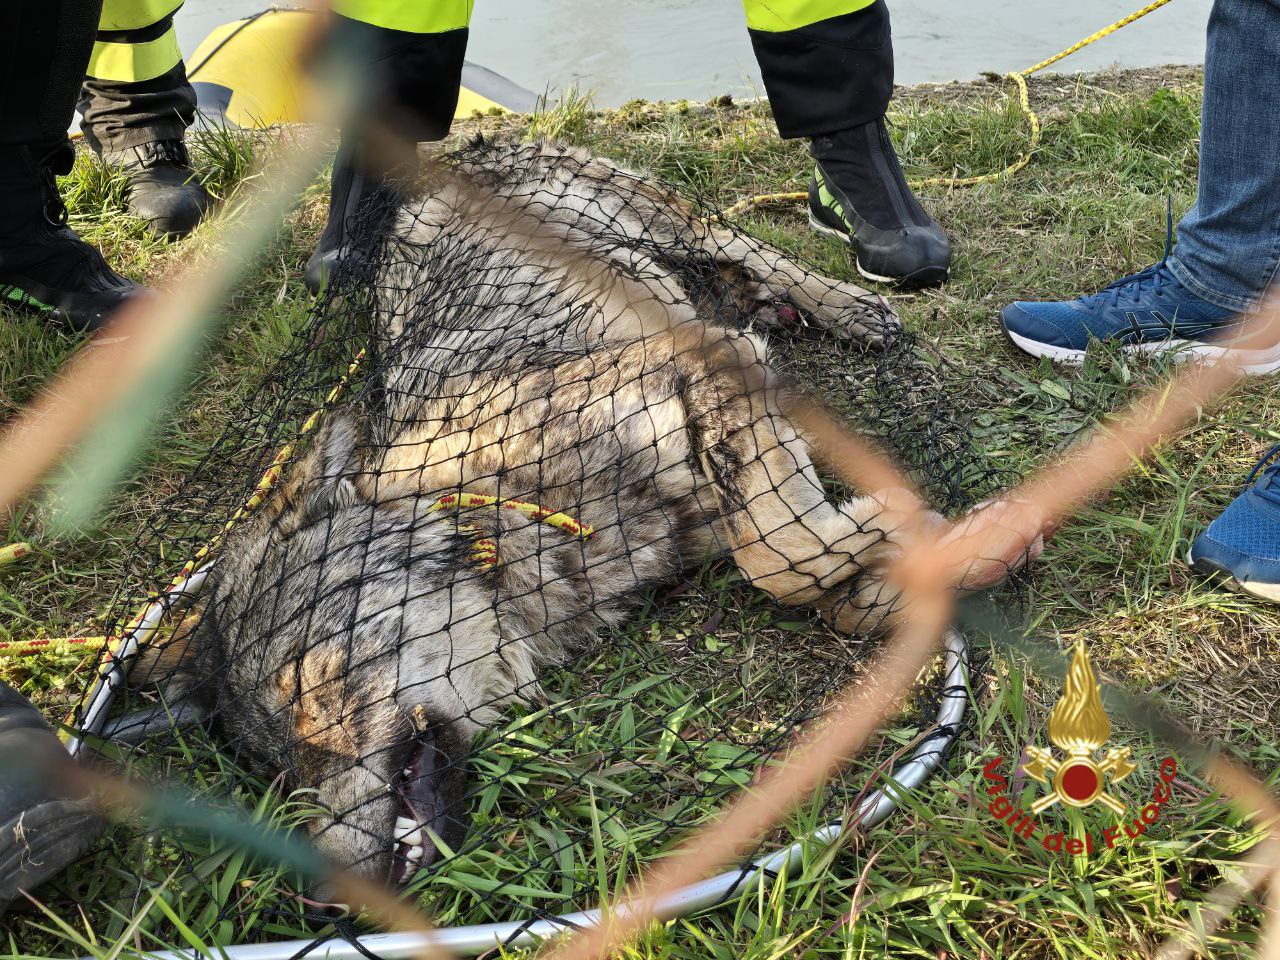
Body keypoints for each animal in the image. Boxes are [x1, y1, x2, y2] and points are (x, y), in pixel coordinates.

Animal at [138, 139, 1038, 886]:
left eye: (310, 689)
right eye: (276, 769)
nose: (325, 904)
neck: (499, 502)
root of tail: (458, 147)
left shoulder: (716, 372)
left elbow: (780, 556)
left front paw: (922, 536)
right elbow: (816, 570)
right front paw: (917, 560)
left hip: (662, 217)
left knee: (751, 248)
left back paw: (843, 305)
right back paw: (764, 302)